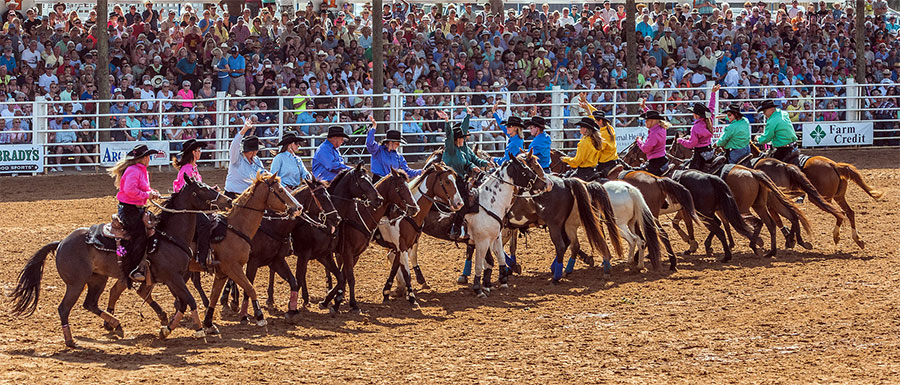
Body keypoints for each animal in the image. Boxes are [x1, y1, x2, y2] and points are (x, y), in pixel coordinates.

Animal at [9, 176, 232, 346]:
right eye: (203, 188)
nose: (228, 201)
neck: (169, 235)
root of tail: (62, 242)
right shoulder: (173, 277)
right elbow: (190, 300)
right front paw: (199, 329)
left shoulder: (172, 278)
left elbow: (183, 303)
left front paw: (166, 329)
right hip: (76, 283)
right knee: (64, 309)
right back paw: (71, 341)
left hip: (97, 279)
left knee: (90, 303)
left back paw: (116, 324)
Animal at [198, 172, 302, 334]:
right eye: (280, 190)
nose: (298, 207)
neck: (235, 228)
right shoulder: (236, 266)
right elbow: (250, 288)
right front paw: (257, 316)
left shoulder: (226, 270)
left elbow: (215, 294)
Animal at [330, 169, 418, 312]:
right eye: (400, 187)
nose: (414, 208)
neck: (360, 215)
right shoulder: (347, 252)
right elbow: (349, 277)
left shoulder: (354, 254)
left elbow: (344, 276)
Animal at [744, 142, 884, 248]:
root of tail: (834, 165)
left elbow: (779, 219)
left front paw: (790, 238)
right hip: (838, 197)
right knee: (849, 212)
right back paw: (858, 239)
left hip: (821, 198)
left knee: (840, 213)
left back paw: (836, 236)